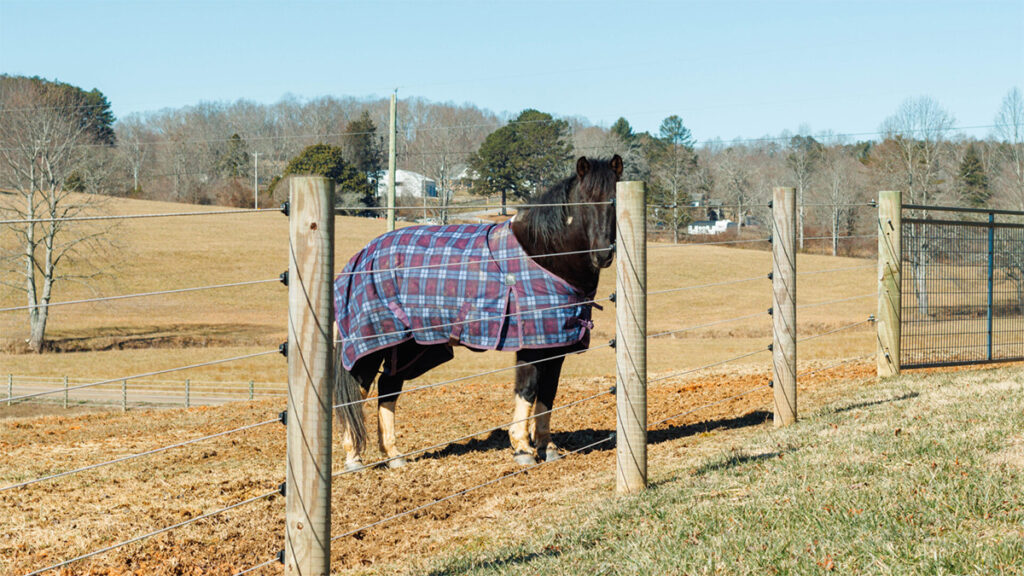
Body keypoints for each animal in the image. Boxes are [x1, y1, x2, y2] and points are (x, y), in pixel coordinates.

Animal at [335, 154, 622, 469]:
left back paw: (394, 455)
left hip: (411, 346)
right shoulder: (530, 345)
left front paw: (547, 447)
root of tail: (363, 255)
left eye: (615, 199)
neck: (543, 256)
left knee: (389, 386)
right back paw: (354, 458)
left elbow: (548, 395)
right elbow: (528, 390)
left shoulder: (555, 346)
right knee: (358, 390)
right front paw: (522, 449)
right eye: (584, 201)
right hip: (373, 341)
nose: (602, 254)